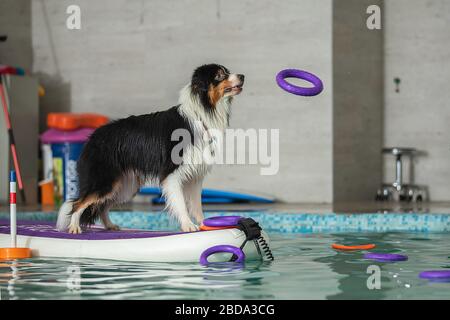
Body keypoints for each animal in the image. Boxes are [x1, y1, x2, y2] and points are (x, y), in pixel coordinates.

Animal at [57, 63, 246, 234]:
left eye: (227, 71)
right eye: (220, 75)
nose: (243, 76)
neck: (202, 112)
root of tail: (92, 138)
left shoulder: (195, 177)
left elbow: (196, 205)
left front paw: (204, 225)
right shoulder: (171, 174)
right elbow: (181, 204)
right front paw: (188, 225)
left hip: (124, 187)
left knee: (102, 205)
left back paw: (110, 225)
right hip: (105, 180)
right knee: (77, 203)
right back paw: (74, 227)